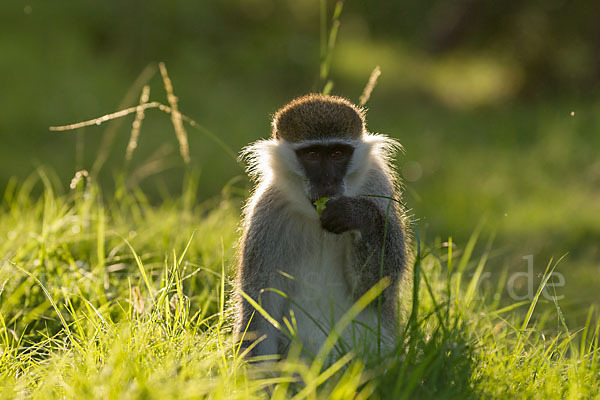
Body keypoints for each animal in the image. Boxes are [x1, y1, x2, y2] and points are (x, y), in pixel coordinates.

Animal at [234, 93, 408, 360]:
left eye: (337, 153)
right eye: (313, 154)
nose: (327, 181)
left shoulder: (379, 188)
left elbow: (377, 291)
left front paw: (357, 215)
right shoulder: (266, 212)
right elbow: (260, 313)